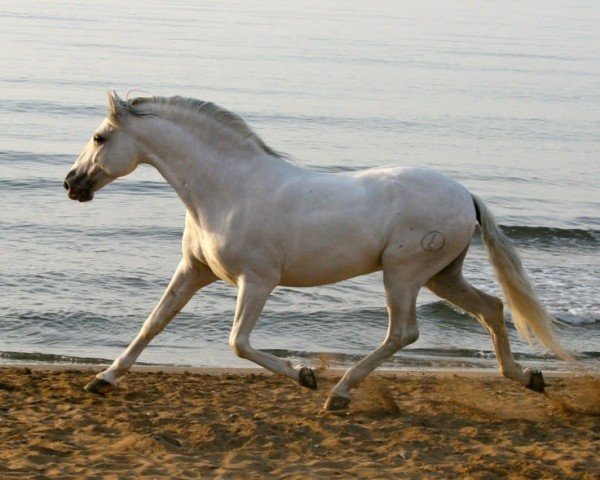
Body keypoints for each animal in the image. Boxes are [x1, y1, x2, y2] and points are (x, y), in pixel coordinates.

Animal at [65, 92, 572, 410]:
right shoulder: (193, 270)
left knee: (403, 333)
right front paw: (102, 380)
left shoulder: (258, 281)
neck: (228, 189)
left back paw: (339, 393)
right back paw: (527, 377)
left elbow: (238, 342)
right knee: (491, 307)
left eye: (99, 138)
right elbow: (154, 323)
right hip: (441, 275)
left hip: (404, 274)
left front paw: (305, 374)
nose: (71, 184)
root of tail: (467, 196)